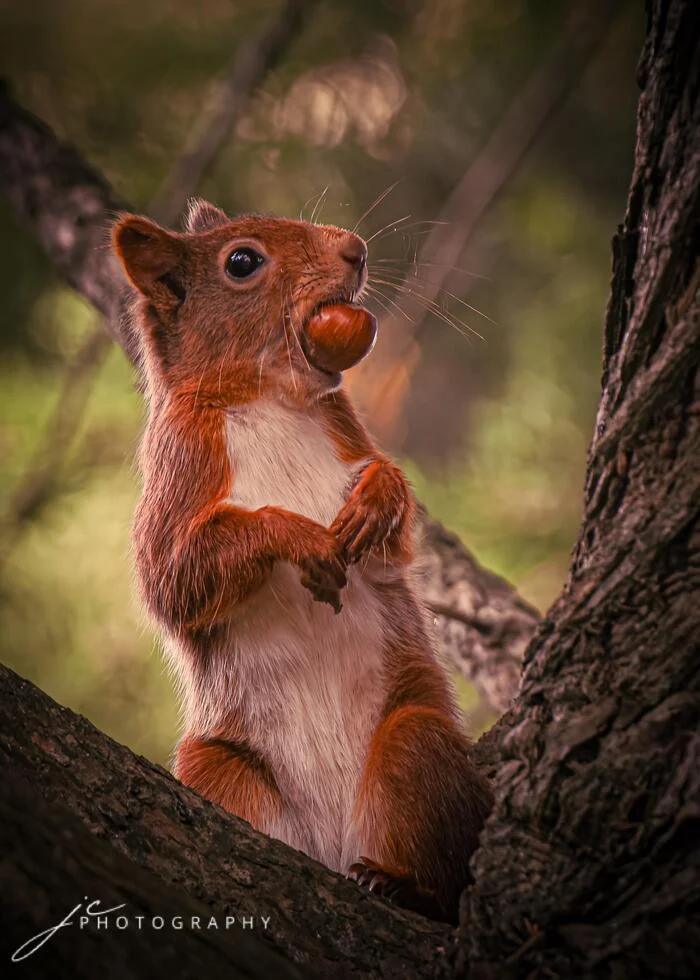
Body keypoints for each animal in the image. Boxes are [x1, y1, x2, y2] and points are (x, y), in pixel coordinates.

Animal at [112, 197, 492, 920]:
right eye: (241, 262)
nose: (356, 249)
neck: (270, 395)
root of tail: (334, 846)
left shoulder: (348, 432)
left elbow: (396, 536)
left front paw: (380, 495)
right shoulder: (177, 469)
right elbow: (174, 577)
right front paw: (299, 536)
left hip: (414, 739)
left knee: (435, 869)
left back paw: (399, 882)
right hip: (221, 769)